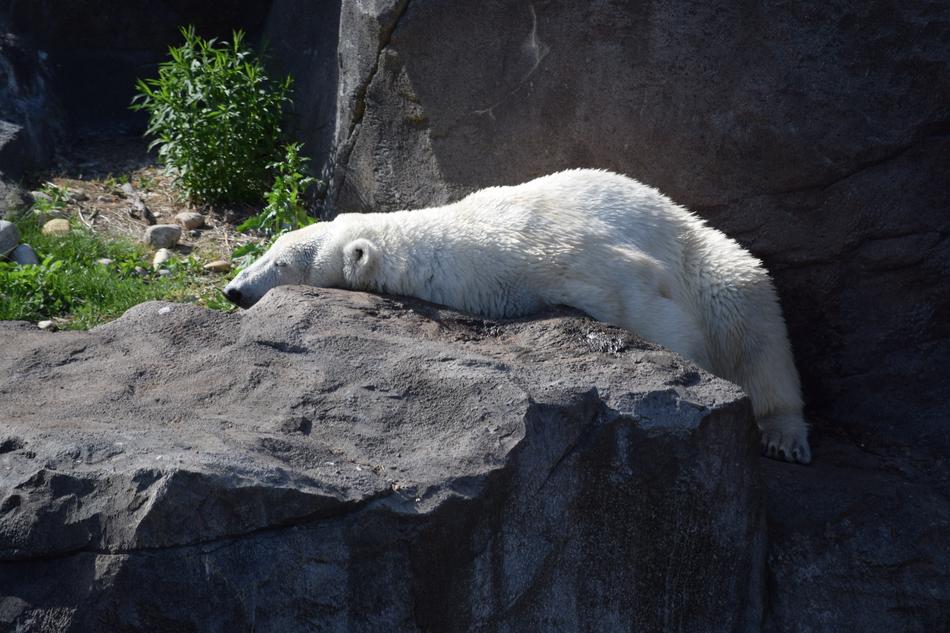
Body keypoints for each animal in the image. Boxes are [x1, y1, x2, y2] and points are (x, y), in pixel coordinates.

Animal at [224, 169, 810, 464]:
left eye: (279, 263)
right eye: (266, 248)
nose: (232, 290)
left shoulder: (563, 255)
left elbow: (653, 307)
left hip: (702, 252)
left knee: (748, 310)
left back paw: (783, 434)